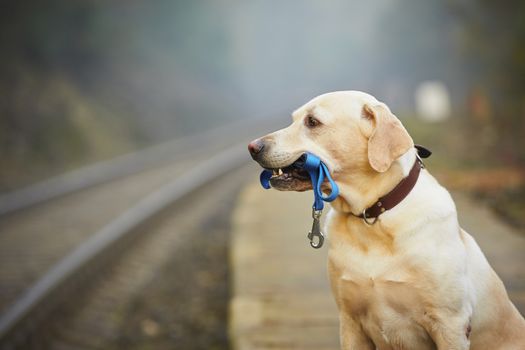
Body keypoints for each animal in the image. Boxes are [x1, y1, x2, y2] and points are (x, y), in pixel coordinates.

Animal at [249, 91, 524, 348]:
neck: (372, 218)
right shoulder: (349, 320)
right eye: (294, 119)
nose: (253, 147)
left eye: (313, 122)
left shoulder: (451, 324)